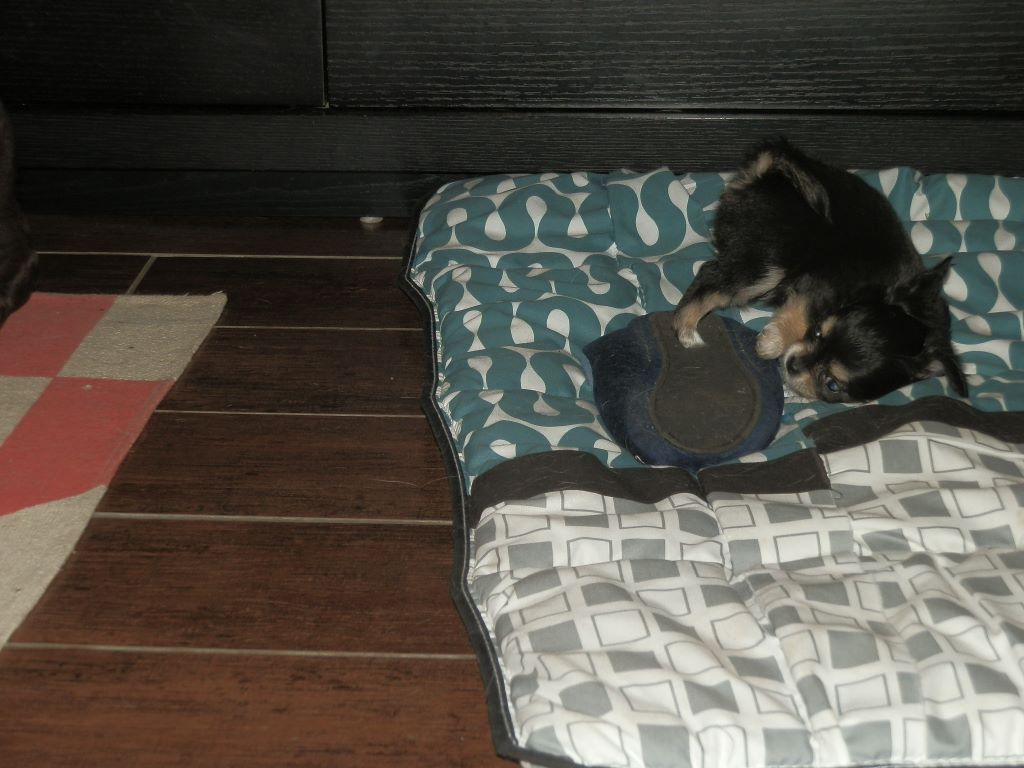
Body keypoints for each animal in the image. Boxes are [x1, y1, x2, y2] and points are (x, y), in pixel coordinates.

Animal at [672, 138, 967, 403]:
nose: (791, 364)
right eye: (817, 333)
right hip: (766, 266)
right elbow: (796, 313)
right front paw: (769, 343)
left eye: (832, 385)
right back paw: (687, 332)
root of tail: (764, 176)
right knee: (710, 276)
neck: (883, 294)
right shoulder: (818, 286)